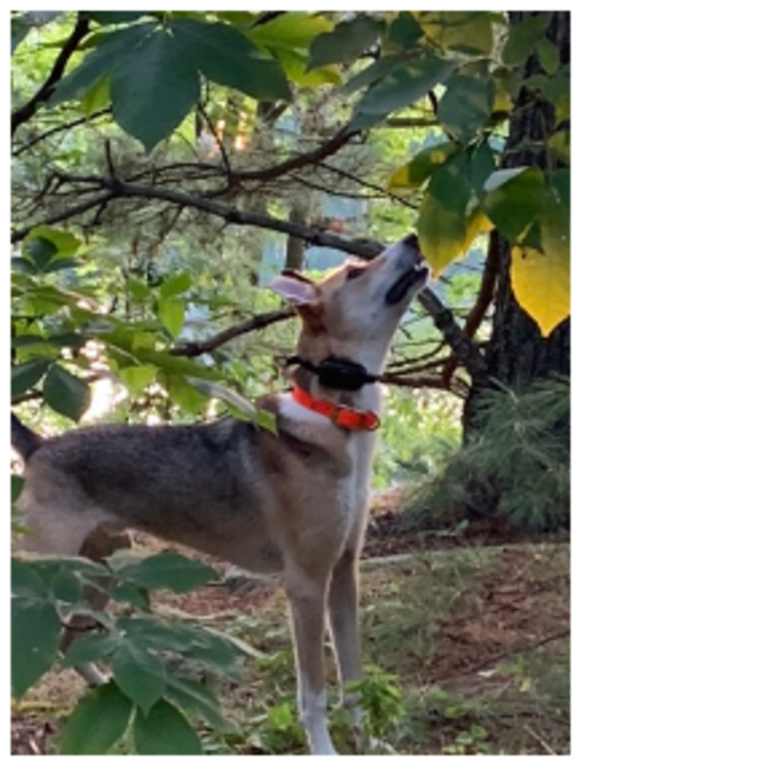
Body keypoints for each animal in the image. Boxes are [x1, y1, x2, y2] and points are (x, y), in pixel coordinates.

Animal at [12, 236, 428, 756]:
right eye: (354, 273)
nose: (413, 239)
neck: (333, 416)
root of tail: (37, 446)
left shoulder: (344, 573)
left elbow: (354, 680)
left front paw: (371, 745)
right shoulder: (307, 584)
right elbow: (314, 692)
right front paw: (325, 751)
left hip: (100, 569)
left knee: (69, 643)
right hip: (43, 572)